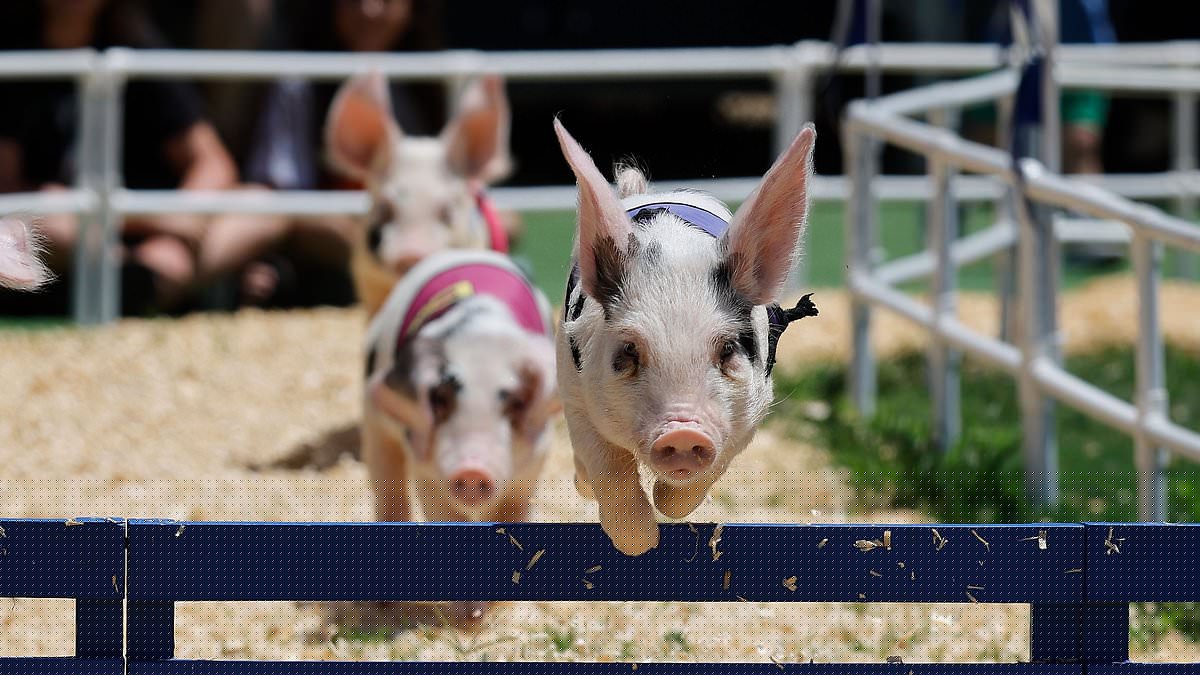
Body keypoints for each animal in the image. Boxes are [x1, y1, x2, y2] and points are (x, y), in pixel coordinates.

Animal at [362, 249, 560, 621]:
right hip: (374, 415)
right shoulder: (426, 466)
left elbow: (513, 513)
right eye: (441, 398)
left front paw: (501, 605)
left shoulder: (535, 457)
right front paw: (469, 616)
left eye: (513, 400)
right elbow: (445, 516)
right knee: (388, 488)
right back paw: (383, 603)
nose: (473, 469)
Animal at [553, 119, 819, 556]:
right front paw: (643, 542)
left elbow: (703, 478)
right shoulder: (573, 391)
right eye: (630, 350)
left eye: (727, 348)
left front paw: (666, 502)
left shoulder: (753, 410)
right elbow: (610, 470)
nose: (682, 432)